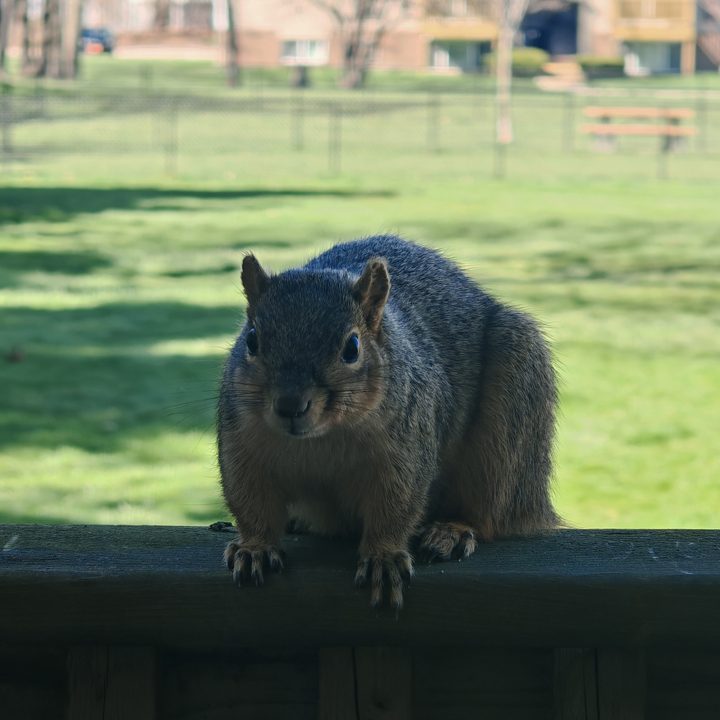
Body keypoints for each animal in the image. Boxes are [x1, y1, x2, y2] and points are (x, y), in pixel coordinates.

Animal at [218, 235, 559, 609]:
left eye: (352, 347)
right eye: (251, 340)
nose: (290, 405)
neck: (320, 439)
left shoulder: (406, 450)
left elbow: (395, 506)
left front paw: (383, 557)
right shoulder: (241, 446)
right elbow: (250, 502)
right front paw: (255, 548)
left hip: (511, 418)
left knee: (488, 510)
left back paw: (452, 530)